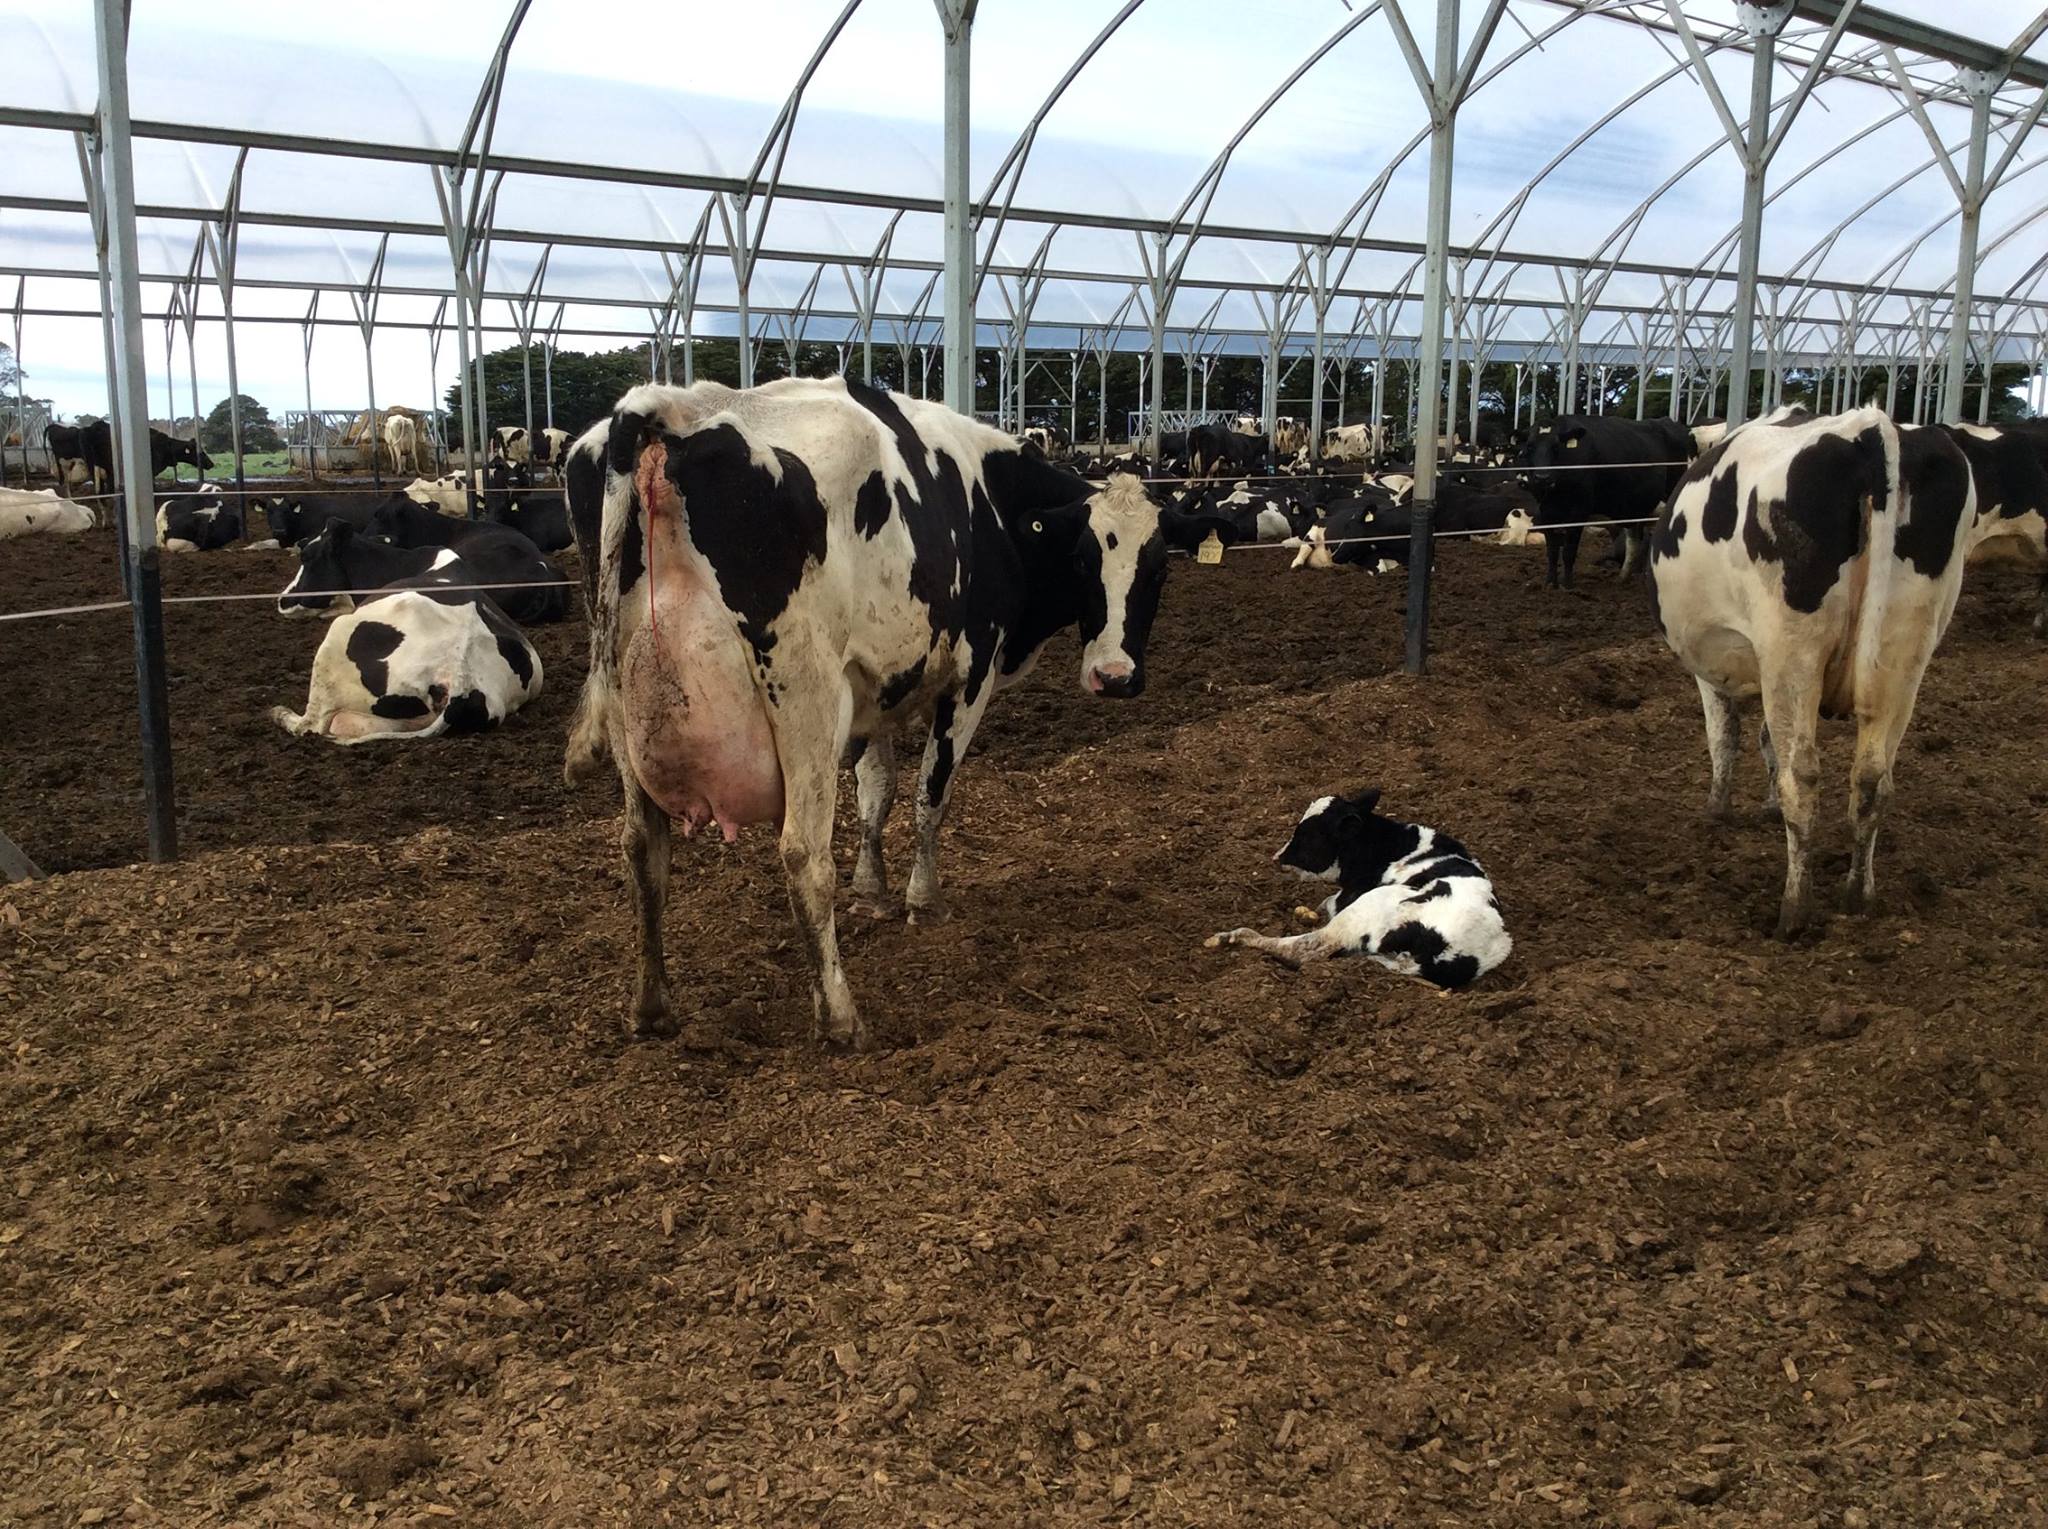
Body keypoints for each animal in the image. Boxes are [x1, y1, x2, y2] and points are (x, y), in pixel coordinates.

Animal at [565, 376, 1212, 1056]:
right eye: (1085, 561)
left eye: (1160, 566)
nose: (1114, 677)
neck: (992, 502)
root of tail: (670, 407)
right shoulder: (971, 675)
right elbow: (932, 793)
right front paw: (922, 900)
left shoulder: (873, 691)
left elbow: (876, 792)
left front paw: (871, 890)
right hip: (804, 694)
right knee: (802, 855)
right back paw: (840, 1018)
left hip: (627, 698)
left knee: (643, 850)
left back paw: (651, 1007)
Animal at [1204, 790, 1515, 994]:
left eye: (1306, 835)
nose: (1276, 858)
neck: (1388, 845)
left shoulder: (1351, 898)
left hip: (1371, 906)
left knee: (1306, 949)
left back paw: (1232, 936)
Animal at [1638, 403, 1974, 933]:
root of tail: (1871, 429)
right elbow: (1764, 740)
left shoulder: (1713, 668)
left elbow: (1725, 737)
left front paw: (1717, 810)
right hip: (1907, 654)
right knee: (1873, 779)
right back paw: (1858, 895)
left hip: (1791, 650)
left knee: (1803, 775)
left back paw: (1794, 911)